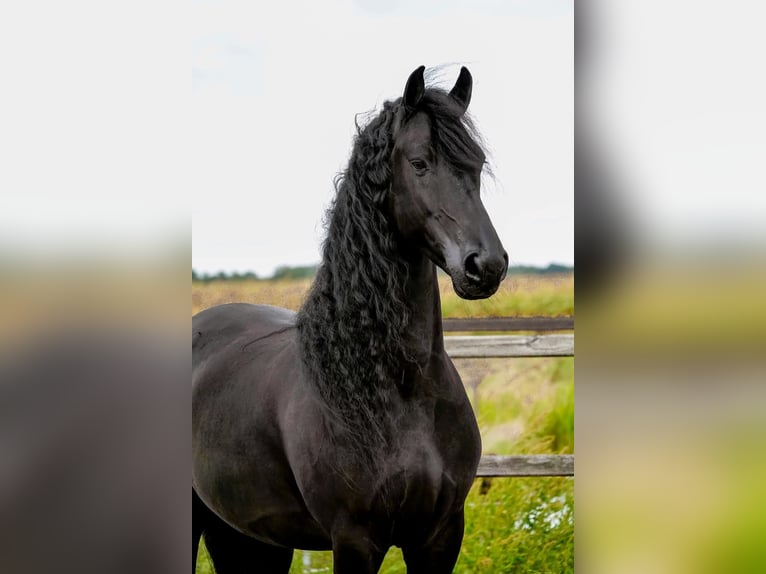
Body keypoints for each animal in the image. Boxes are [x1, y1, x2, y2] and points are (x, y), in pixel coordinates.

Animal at [192, 65, 508, 573]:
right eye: (419, 163)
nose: (487, 266)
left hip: (249, 539)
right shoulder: (356, 539)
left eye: (476, 165)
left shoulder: (441, 536)